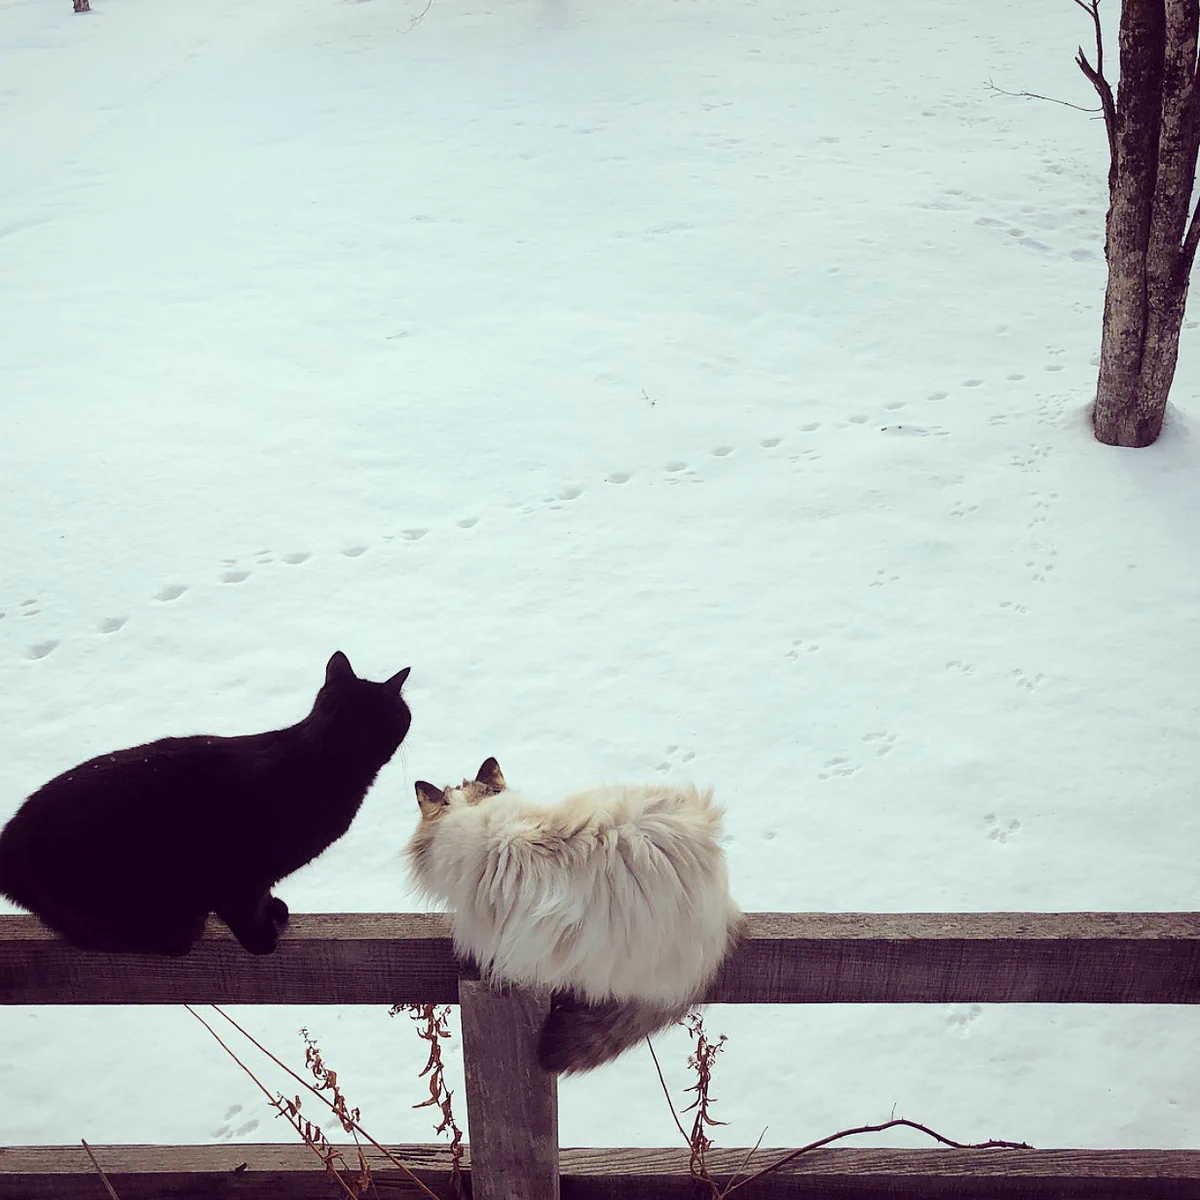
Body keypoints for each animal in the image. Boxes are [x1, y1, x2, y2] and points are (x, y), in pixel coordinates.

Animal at [0, 648, 412, 955]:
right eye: (404, 713)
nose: (410, 714)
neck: (319, 759)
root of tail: (11, 838)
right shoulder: (237, 872)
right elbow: (243, 908)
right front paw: (260, 939)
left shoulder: (257, 877)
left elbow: (262, 895)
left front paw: (274, 910)